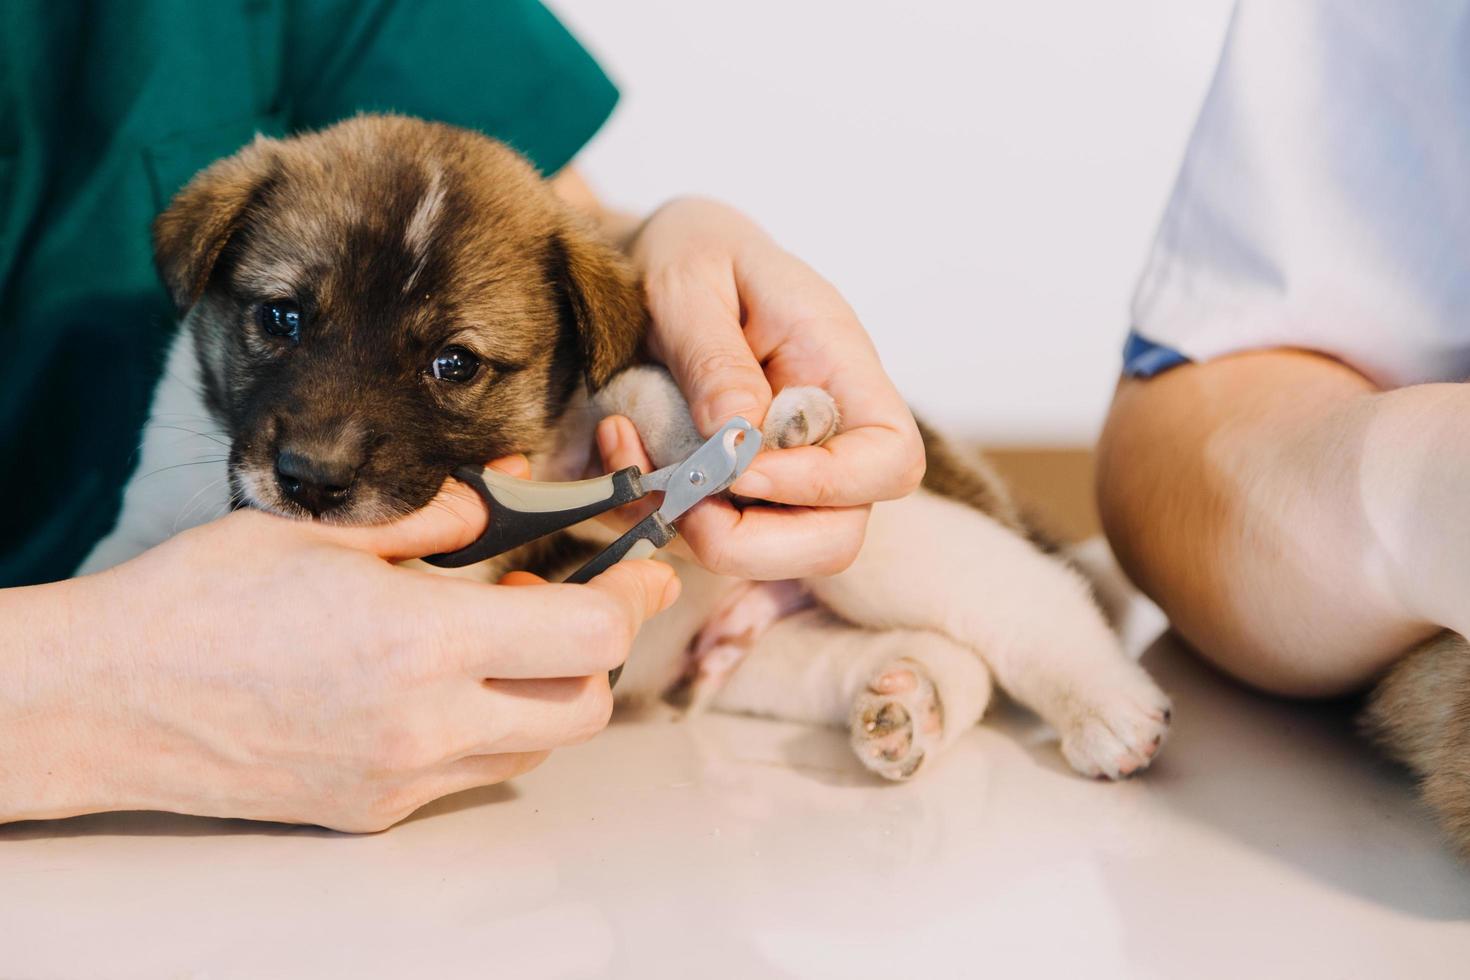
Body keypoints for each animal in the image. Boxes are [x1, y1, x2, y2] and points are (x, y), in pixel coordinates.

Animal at [85, 115, 1176, 787]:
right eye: (282, 318)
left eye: (452, 364)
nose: (310, 479)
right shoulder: (151, 509)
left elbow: (642, 393)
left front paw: (747, 424)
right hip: (760, 661)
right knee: (925, 654)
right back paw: (906, 701)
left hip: (896, 546)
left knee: (1028, 604)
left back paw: (1110, 709)